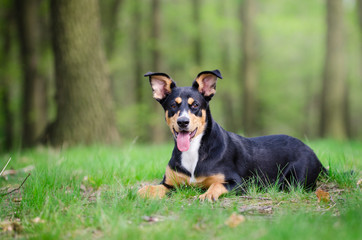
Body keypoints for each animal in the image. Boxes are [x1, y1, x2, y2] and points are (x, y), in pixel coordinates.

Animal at [138, 70, 326, 202]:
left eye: (195, 105)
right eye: (172, 105)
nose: (183, 122)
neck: (194, 150)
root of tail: (311, 151)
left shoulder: (238, 182)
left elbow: (216, 184)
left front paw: (207, 195)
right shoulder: (169, 183)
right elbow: (153, 187)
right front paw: (142, 191)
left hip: (296, 179)